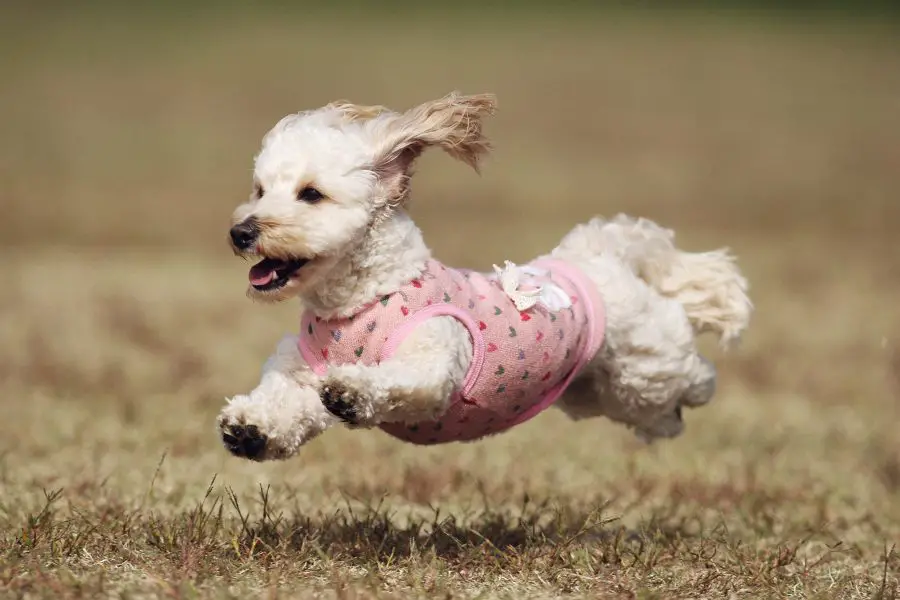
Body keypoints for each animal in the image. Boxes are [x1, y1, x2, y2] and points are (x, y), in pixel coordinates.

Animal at [218, 91, 752, 462]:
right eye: (260, 190)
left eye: (311, 194)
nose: (240, 232)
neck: (360, 302)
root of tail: (598, 255)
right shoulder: (297, 367)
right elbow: (290, 404)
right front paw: (251, 428)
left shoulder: (433, 364)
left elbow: (394, 381)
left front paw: (351, 390)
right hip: (593, 392)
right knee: (658, 413)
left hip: (643, 367)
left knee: (692, 375)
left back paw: (698, 385)